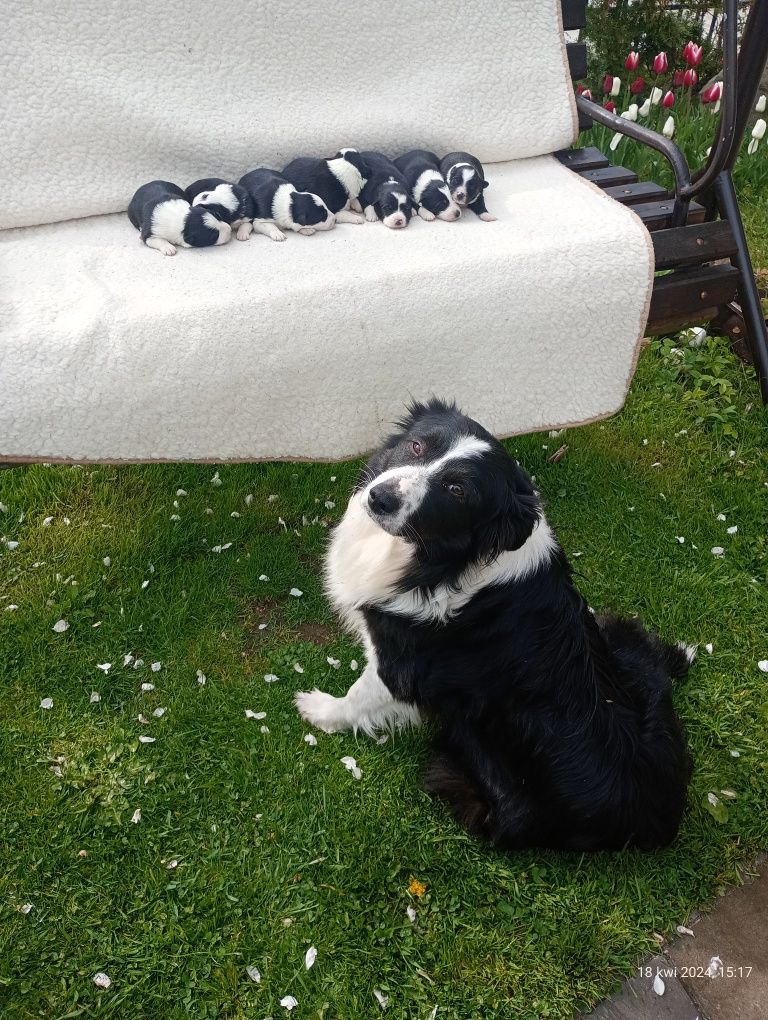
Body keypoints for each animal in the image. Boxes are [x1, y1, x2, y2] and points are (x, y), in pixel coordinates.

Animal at [295, 397, 693, 852]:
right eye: (416, 446)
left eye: (457, 491)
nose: (380, 499)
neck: (437, 561)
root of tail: (659, 824)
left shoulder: (401, 667)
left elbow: (359, 697)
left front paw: (319, 710)